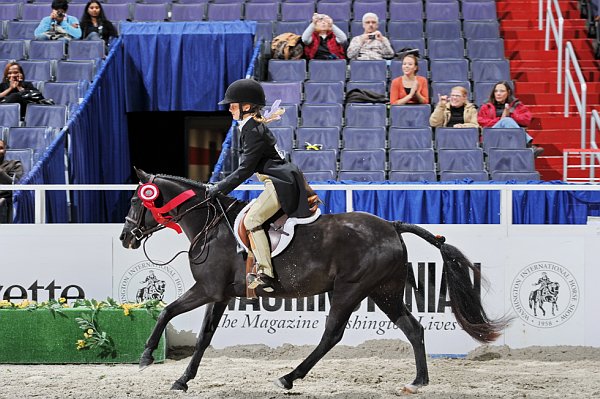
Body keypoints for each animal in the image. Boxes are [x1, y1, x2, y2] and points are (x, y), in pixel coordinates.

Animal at [120, 169, 506, 394]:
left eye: (136, 199)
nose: (126, 237)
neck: (209, 225)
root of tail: (392, 226)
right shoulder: (220, 295)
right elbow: (203, 338)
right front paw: (182, 379)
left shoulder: (206, 290)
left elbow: (166, 311)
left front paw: (146, 355)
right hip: (385, 292)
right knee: (413, 328)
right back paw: (419, 380)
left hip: (350, 290)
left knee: (331, 335)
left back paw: (289, 377)